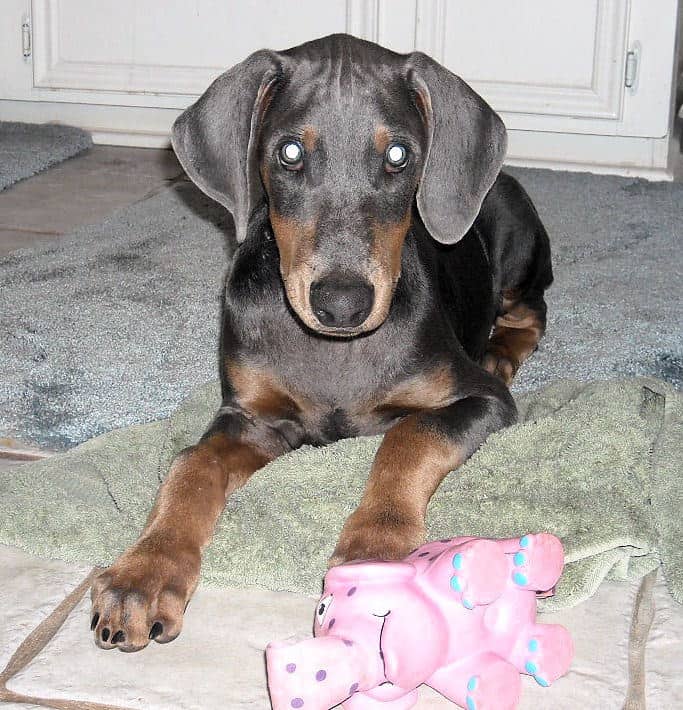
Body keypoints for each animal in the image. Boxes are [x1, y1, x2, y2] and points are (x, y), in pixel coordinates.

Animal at [91, 36, 552, 652]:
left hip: (519, 251)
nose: (341, 304)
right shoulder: (255, 418)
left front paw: (377, 546)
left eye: (399, 155)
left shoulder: (480, 400)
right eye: (289, 152)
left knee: (533, 310)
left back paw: (501, 350)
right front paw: (143, 573)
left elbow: (410, 434)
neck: (334, 349)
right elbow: (191, 464)